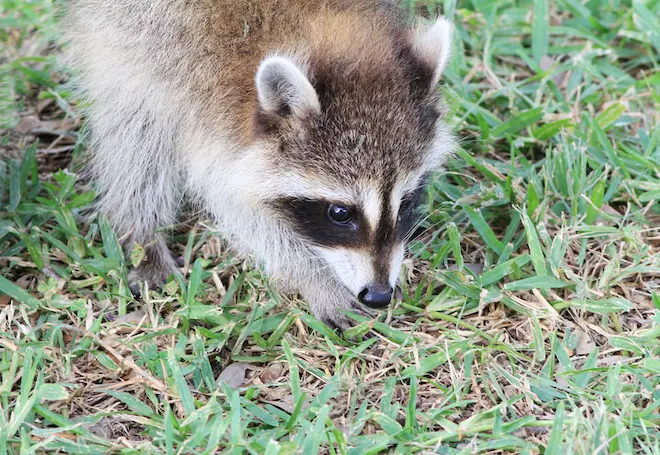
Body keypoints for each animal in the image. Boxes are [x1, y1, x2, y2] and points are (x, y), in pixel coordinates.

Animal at [63, 0, 454, 330]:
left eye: (406, 202)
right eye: (340, 213)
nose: (378, 294)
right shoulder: (187, 77)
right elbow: (240, 209)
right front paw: (313, 277)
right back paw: (140, 232)